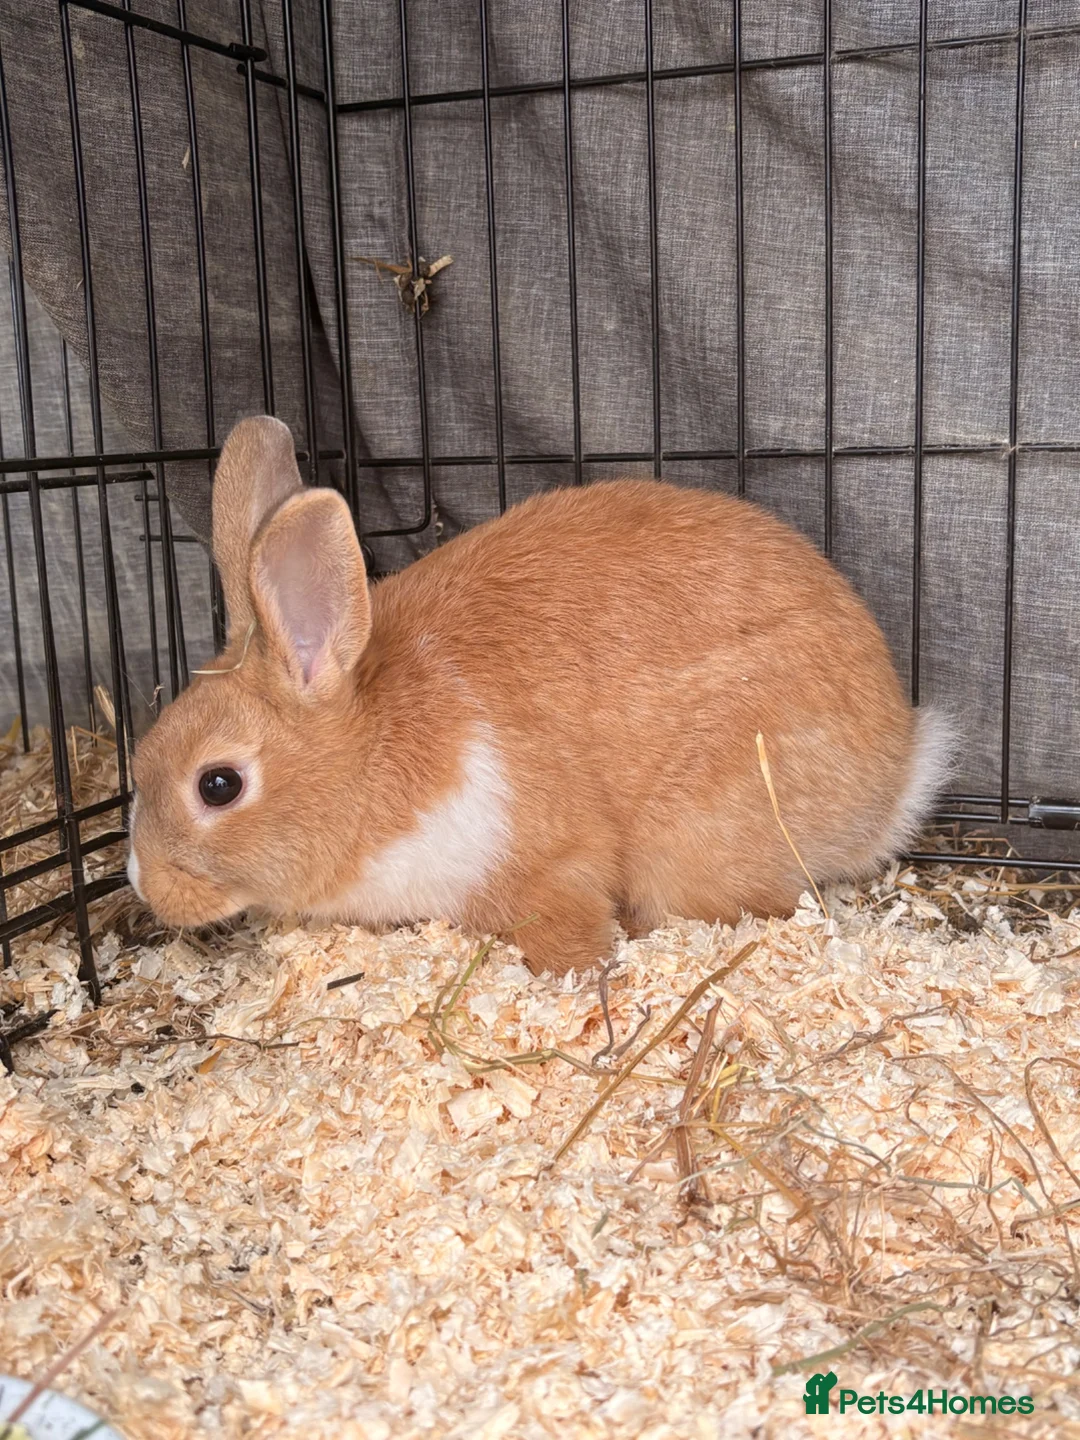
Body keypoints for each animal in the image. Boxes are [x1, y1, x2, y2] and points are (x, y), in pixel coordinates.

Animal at [126, 415, 953, 976]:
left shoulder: (539, 860)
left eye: (219, 785)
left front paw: (585, 969)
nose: (145, 886)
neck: (368, 758)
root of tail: (895, 776)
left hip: (696, 834)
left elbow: (564, 921)